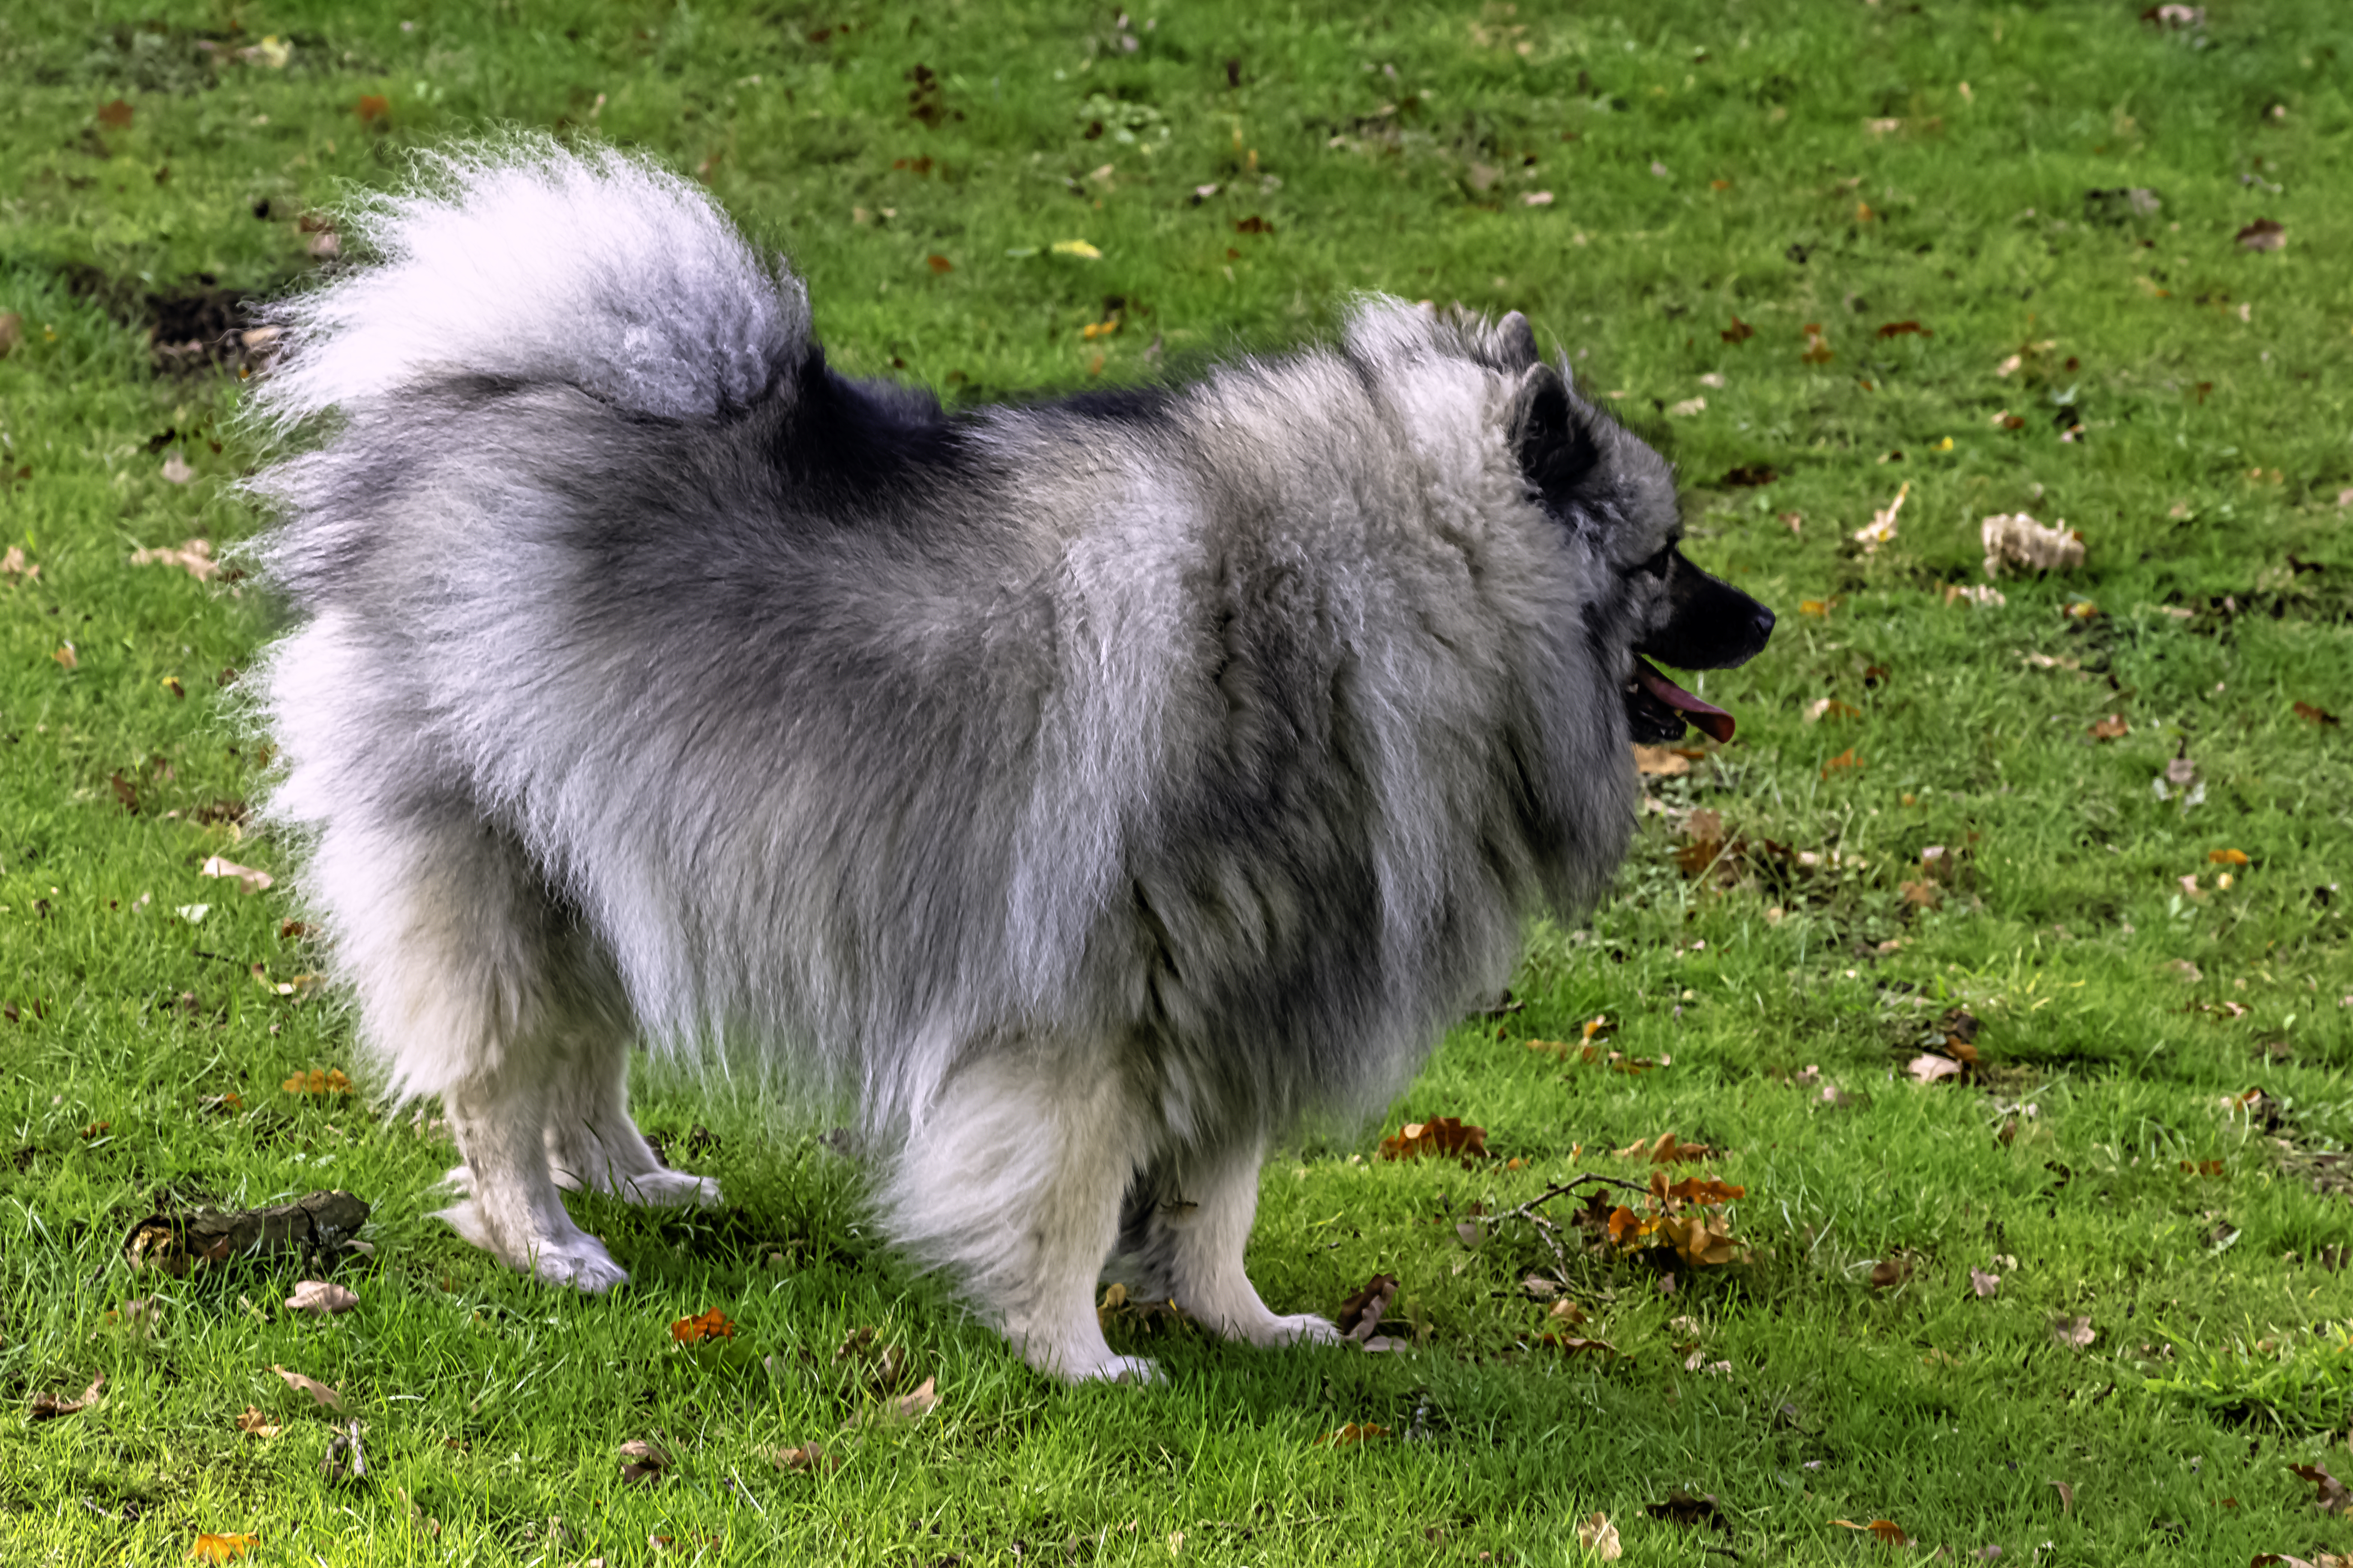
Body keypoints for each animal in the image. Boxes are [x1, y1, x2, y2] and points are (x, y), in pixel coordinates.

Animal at [248, 141, 1769, 1382]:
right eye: (1666, 556)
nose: (1762, 619)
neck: (1374, 601)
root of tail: (465, 409)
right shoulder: (1102, 1007)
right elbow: (1070, 1197)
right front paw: (1075, 1352)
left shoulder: (1242, 988)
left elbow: (1216, 1200)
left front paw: (1240, 1321)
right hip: (505, 876)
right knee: (502, 1086)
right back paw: (548, 1240)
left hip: (616, 861)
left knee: (585, 1062)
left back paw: (637, 1180)